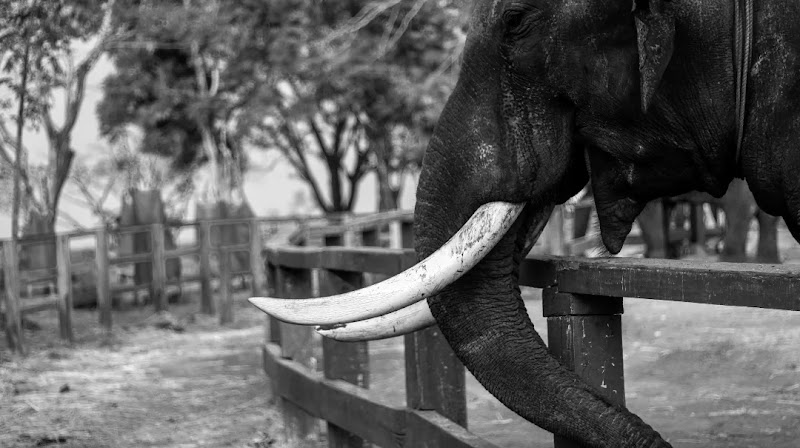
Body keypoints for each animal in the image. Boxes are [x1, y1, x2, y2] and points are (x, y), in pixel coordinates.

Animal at [637, 178, 781, 261]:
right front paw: (670, 254)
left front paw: (655, 256)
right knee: (766, 217)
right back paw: (767, 261)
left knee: (739, 209)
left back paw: (728, 260)